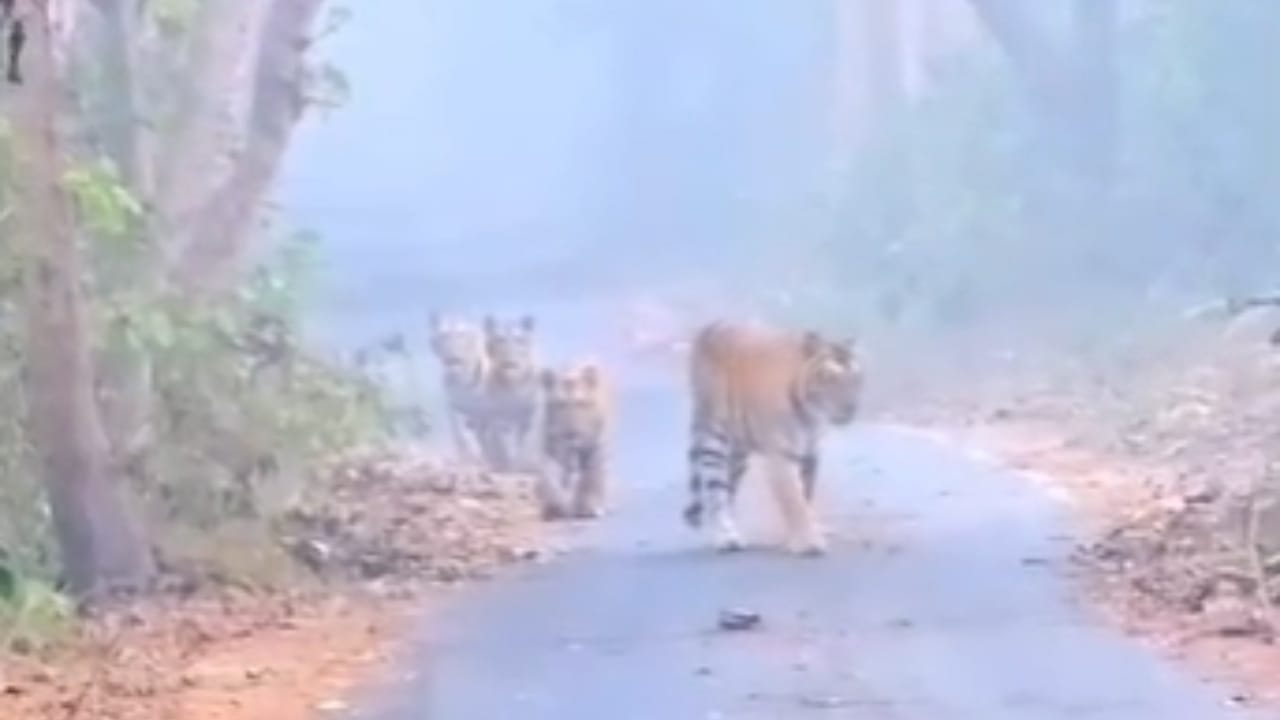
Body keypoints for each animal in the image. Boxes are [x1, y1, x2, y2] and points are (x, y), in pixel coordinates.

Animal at [480, 313, 543, 473]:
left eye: (519, 339)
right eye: (499, 339)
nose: (510, 362)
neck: (514, 386)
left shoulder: (531, 416)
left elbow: (526, 444)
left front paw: (522, 463)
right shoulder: (500, 418)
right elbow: (503, 444)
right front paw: (508, 464)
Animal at [535, 361, 613, 520]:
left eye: (580, 404)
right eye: (560, 404)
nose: (571, 433)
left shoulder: (595, 449)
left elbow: (589, 478)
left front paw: (587, 508)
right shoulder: (552, 448)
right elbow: (551, 476)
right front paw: (556, 506)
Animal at [682, 320, 862, 556]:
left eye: (856, 380)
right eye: (830, 379)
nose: (851, 407)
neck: (811, 416)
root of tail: (710, 327)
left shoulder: (811, 454)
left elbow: (806, 496)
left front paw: (798, 537)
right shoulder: (781, 455)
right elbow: (794, 500)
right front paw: (809, 543)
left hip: (738, 452)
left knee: (729, 490)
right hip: (714, 437)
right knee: (716, 492)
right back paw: (726, 538)